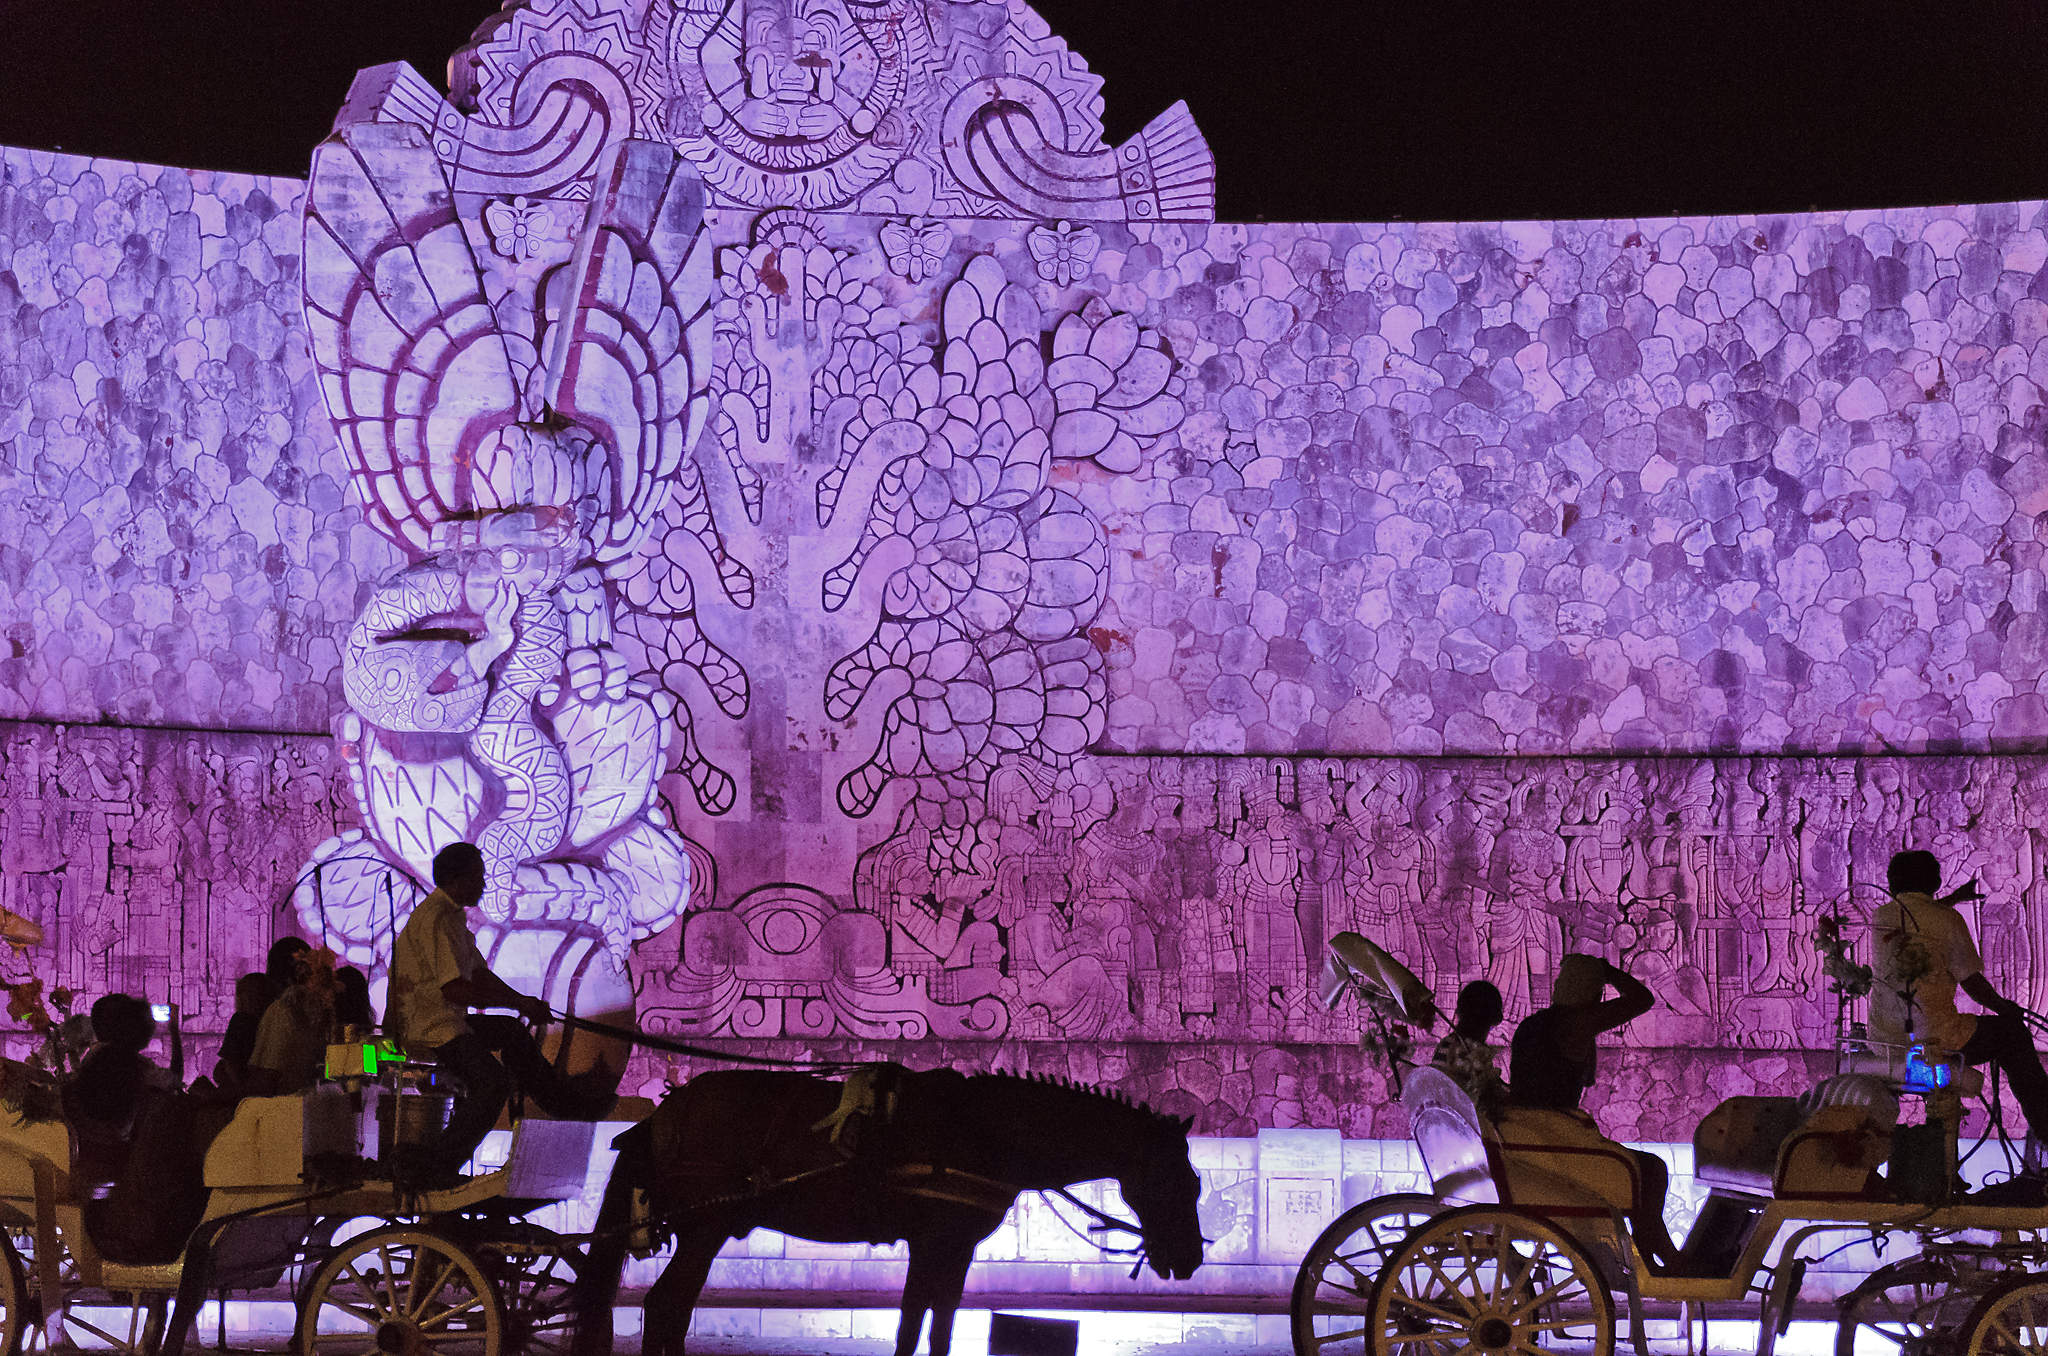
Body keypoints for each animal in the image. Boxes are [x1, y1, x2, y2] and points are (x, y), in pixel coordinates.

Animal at [571, 1066, 1206, 1356]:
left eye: (1197, 1182)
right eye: (1178, 1180)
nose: (1190, 1258)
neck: (982, 1131)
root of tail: (663, 1114)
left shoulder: (952, 1249)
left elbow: (933, 1324)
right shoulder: (935, 1242)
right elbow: (915, 1323)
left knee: (671, 1308)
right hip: (706, 1227)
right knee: (666, 1305)